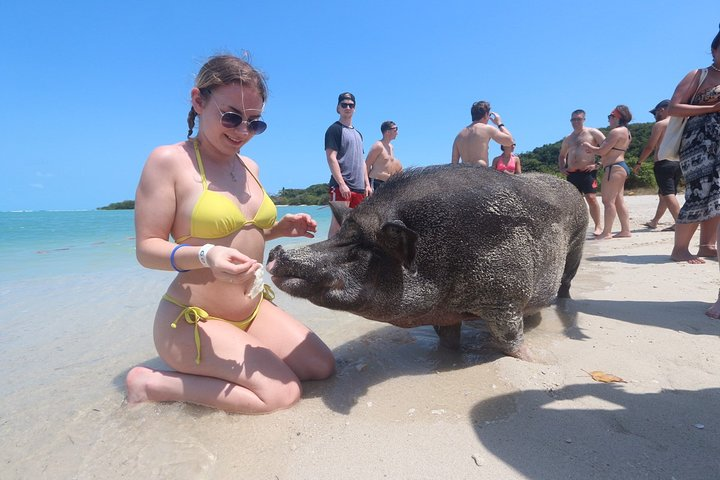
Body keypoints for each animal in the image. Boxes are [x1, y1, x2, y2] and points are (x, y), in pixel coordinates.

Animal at [267, 164, 588, 358]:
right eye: (341, 234)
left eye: (359, 246)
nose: (275, 252)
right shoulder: (445, 313)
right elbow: (448, 340)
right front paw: (444, 357)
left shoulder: (505, 297)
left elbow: (510, 339)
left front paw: (532, 360)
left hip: (578, 244)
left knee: (566, 283)